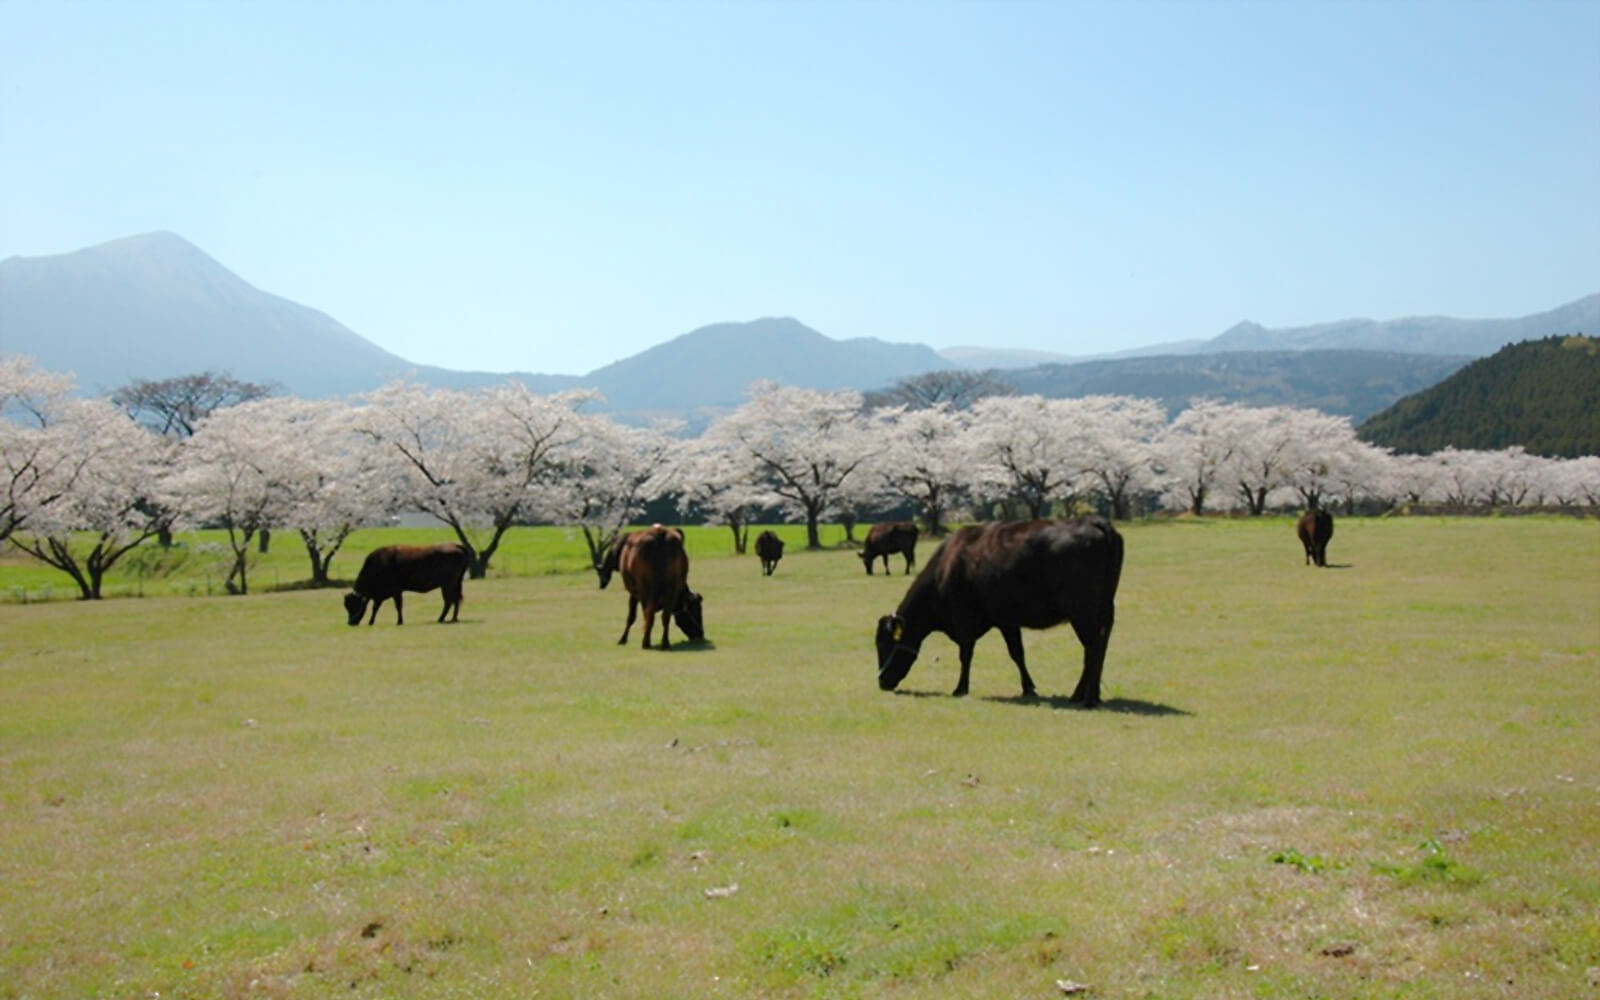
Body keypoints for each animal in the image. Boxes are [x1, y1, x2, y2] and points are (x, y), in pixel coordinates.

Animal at [876, 518, 1126, 707]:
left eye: (885, 643)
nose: (882, 682)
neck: (944, 571)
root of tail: (1095, 522)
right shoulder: (1006, 620)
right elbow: (1017, 653)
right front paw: (1028, 688)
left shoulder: (964, 622)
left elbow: (965, 655)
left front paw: (960, 688)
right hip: (1105, 611)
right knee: (1098, 648)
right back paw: (1083, 695)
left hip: (1082, 612)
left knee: (1092, 648)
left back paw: (1088, 698)